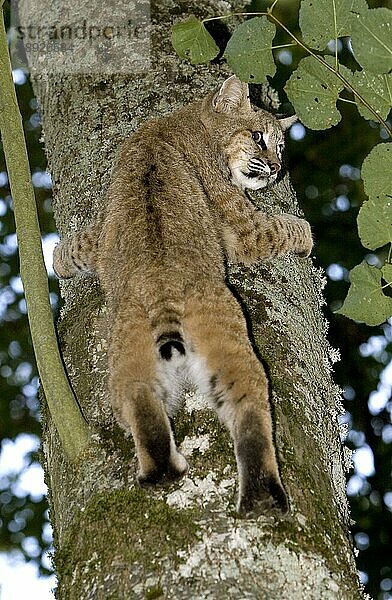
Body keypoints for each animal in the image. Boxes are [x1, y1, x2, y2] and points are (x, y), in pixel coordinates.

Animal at [54, 75, 312, 516]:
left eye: (281, 147)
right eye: (258, 137)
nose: (277, 169)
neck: (188, 118)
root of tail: (162, 284)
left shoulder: (103, 229)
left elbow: (82, 243)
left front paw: (57, 260)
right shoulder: (243, 226)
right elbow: (281, 227)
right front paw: (308, 237)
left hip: (127, 339)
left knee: (138, 396)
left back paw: (166, 471)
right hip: (225, 318)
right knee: (252, 402)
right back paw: (264, 494)